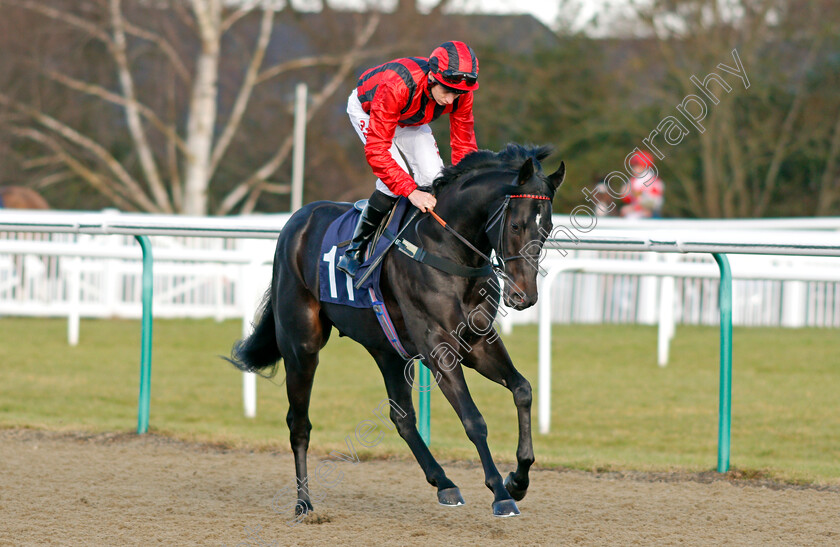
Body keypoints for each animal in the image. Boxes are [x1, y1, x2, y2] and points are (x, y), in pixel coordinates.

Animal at [228, 142, 564, 520]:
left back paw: (444, 483)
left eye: (547, 227)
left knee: (402, 417)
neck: (447, 247)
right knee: (298, 424)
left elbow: (522, 390)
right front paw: (500, 493)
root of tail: (296, 221)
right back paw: (304, 503)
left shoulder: (478, 342)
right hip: (301, 346)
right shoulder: (438, 347)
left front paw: (517, 480)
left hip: (386, 349)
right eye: (517, 225)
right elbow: (473, 419)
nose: (524, 296)